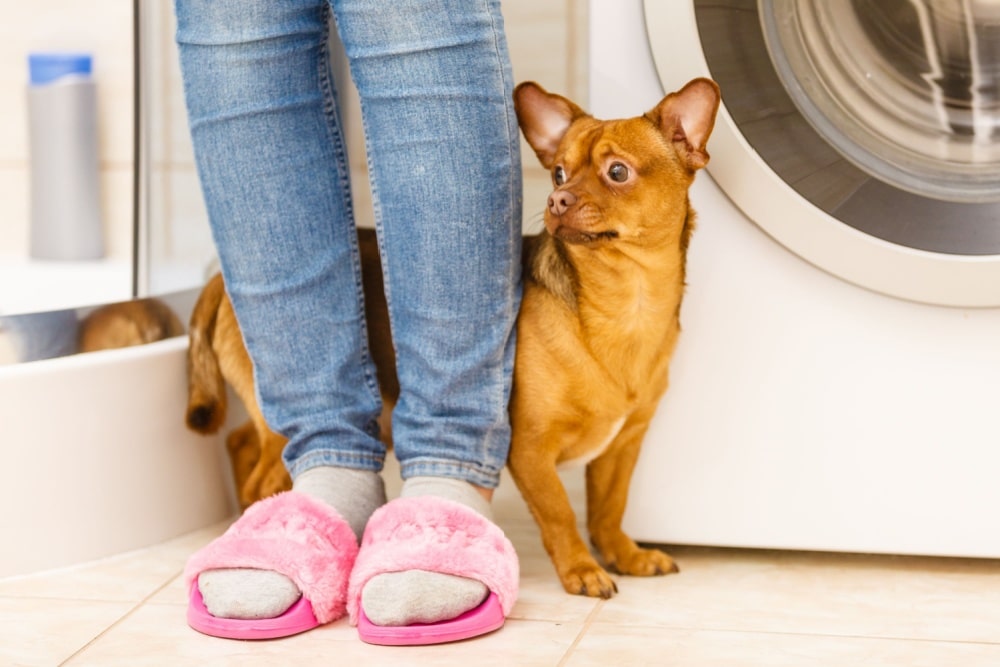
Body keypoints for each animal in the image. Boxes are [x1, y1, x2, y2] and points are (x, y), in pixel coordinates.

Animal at [508, 79, 720, 600]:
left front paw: (625, 555)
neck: (628, 302)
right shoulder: (529, 449)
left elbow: (609, 507)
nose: (557, 200)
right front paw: (582, 569)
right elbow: (560, 513)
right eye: (558, 172)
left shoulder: (623, 446)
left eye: (617, 172)